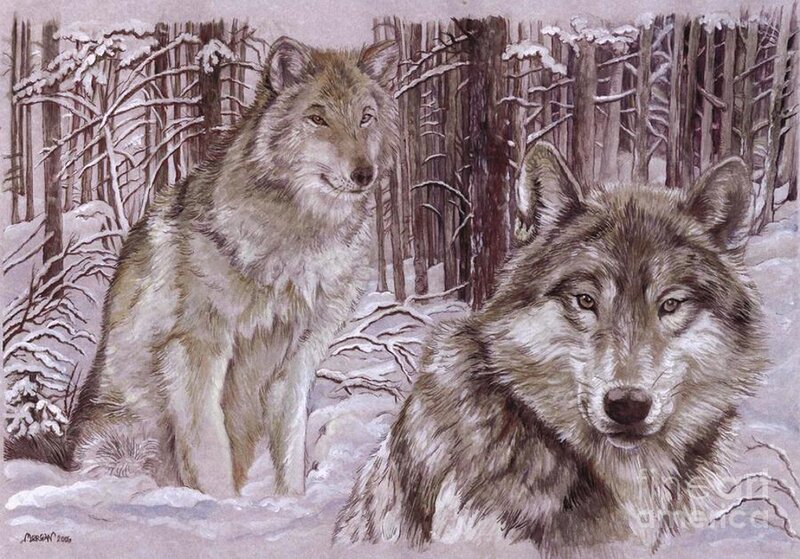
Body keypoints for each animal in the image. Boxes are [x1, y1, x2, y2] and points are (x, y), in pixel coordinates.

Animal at [6, 37, 399, 497]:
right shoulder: (195, 350)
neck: (302, 239)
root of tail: (67, 451)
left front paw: (290, 502)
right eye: (317, 118)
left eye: (365, 117)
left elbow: (290, 454)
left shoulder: (298, 359)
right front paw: (224, 507)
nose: (364, 173)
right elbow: (210, 450)